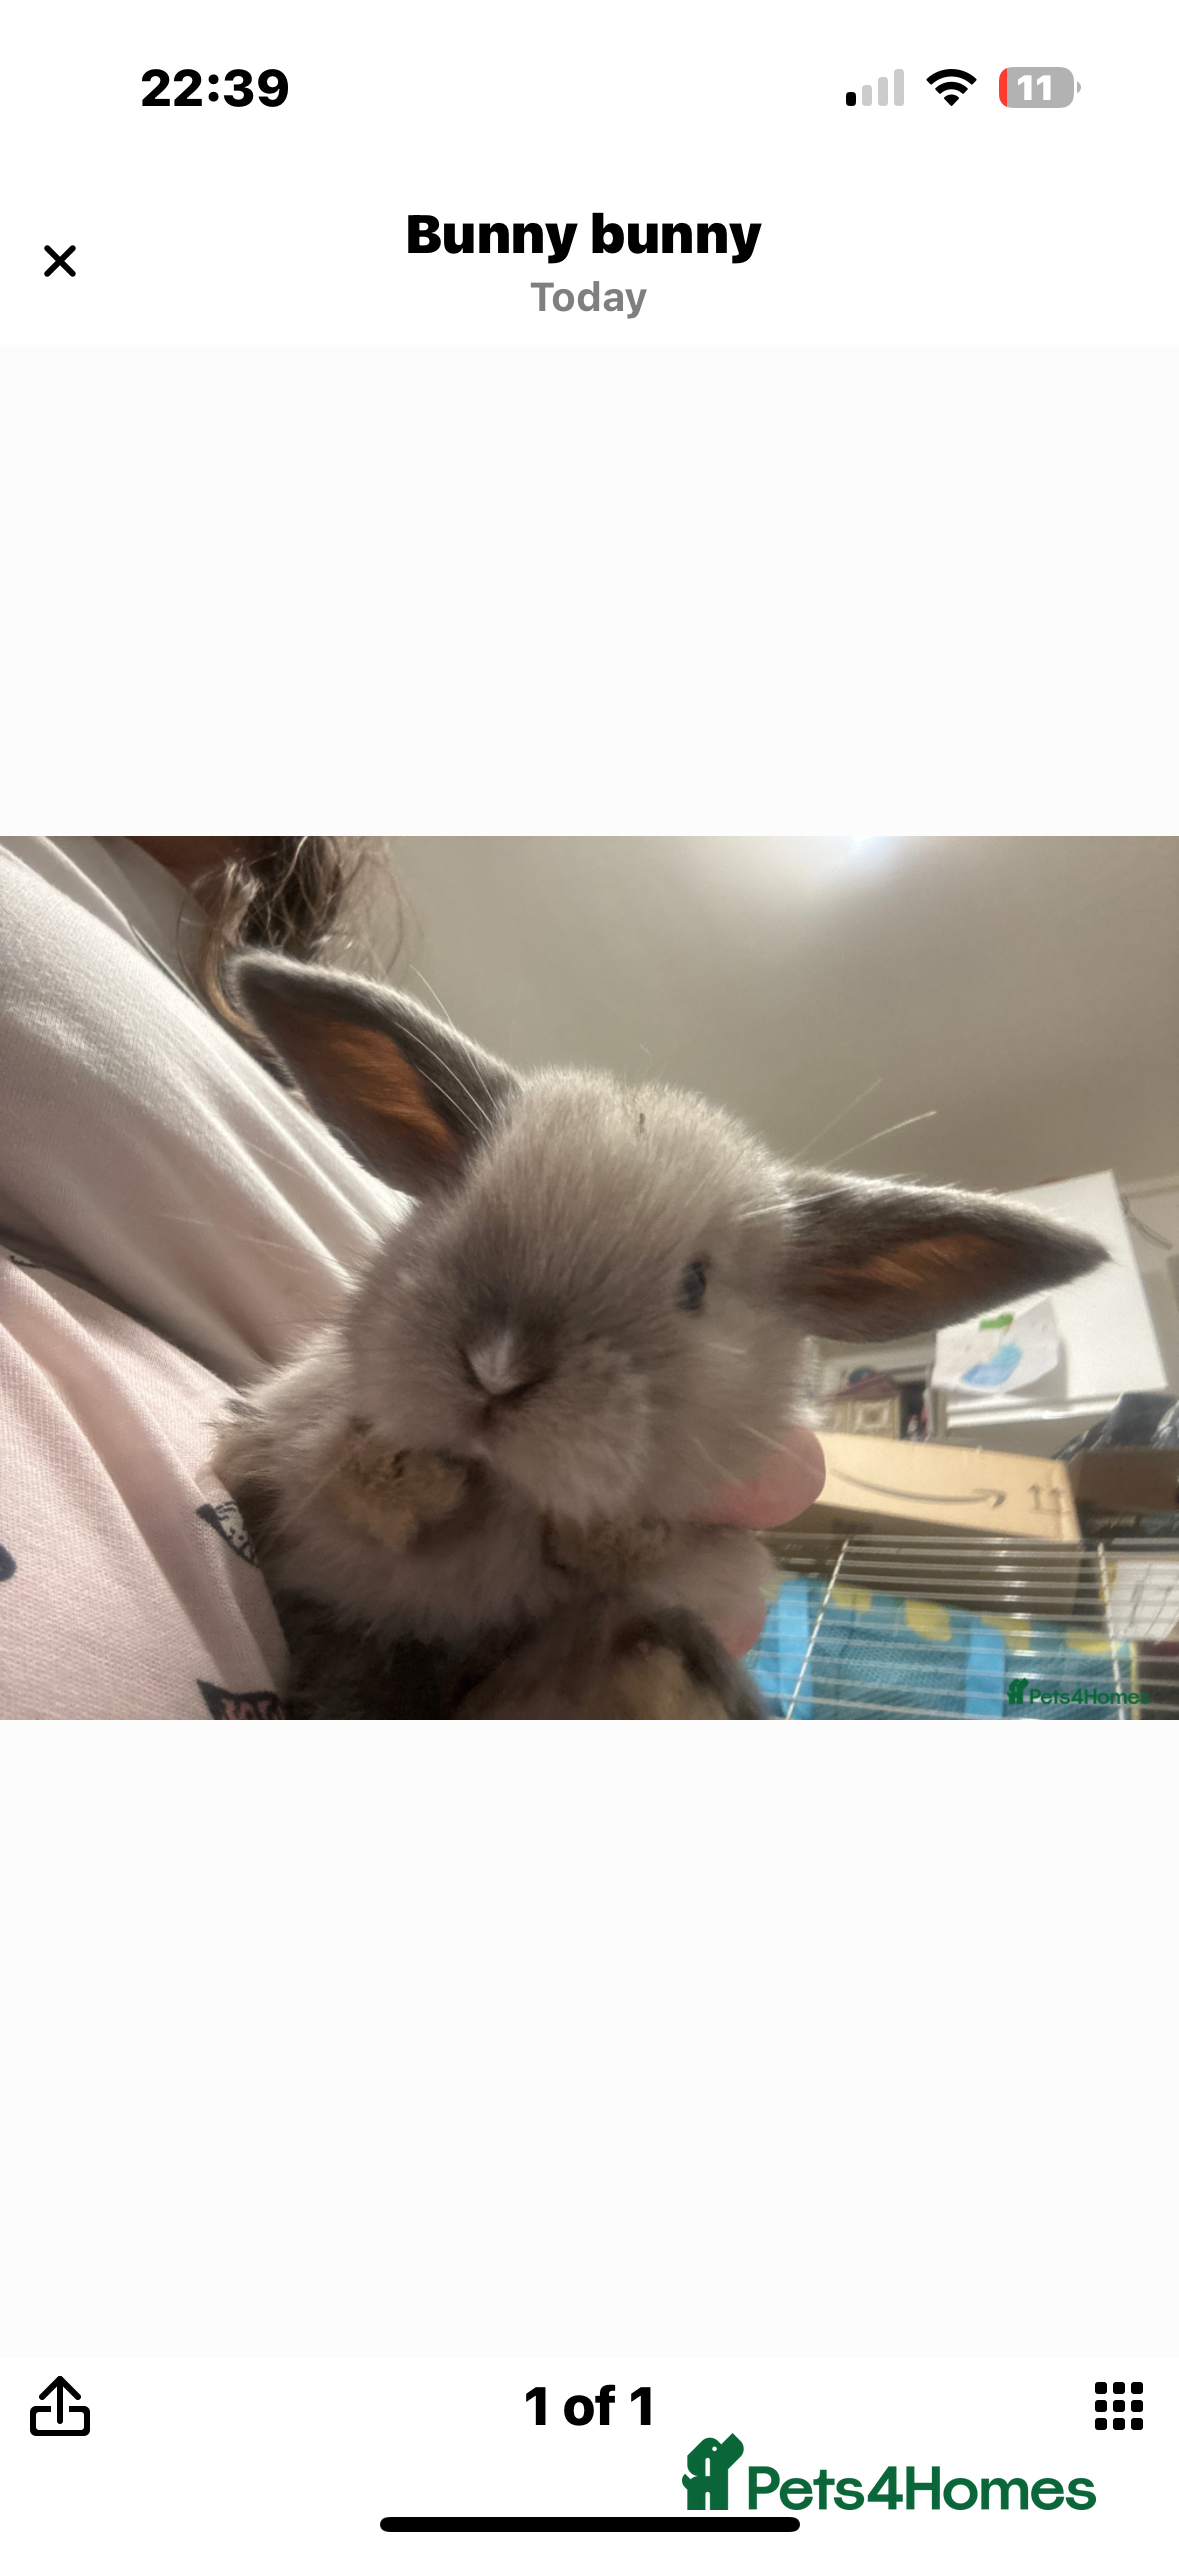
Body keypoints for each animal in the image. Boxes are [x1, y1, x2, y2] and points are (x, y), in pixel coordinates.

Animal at [213, 953, 1107, 1719]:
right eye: (452, 1214)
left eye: (694, 1286)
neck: (503, 1496)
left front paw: (597, 1532)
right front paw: (416, 1473)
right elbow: (345, 1473)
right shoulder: (288, 1448)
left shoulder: (711, 1562)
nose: (496, 1371)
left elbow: (643, 1556)